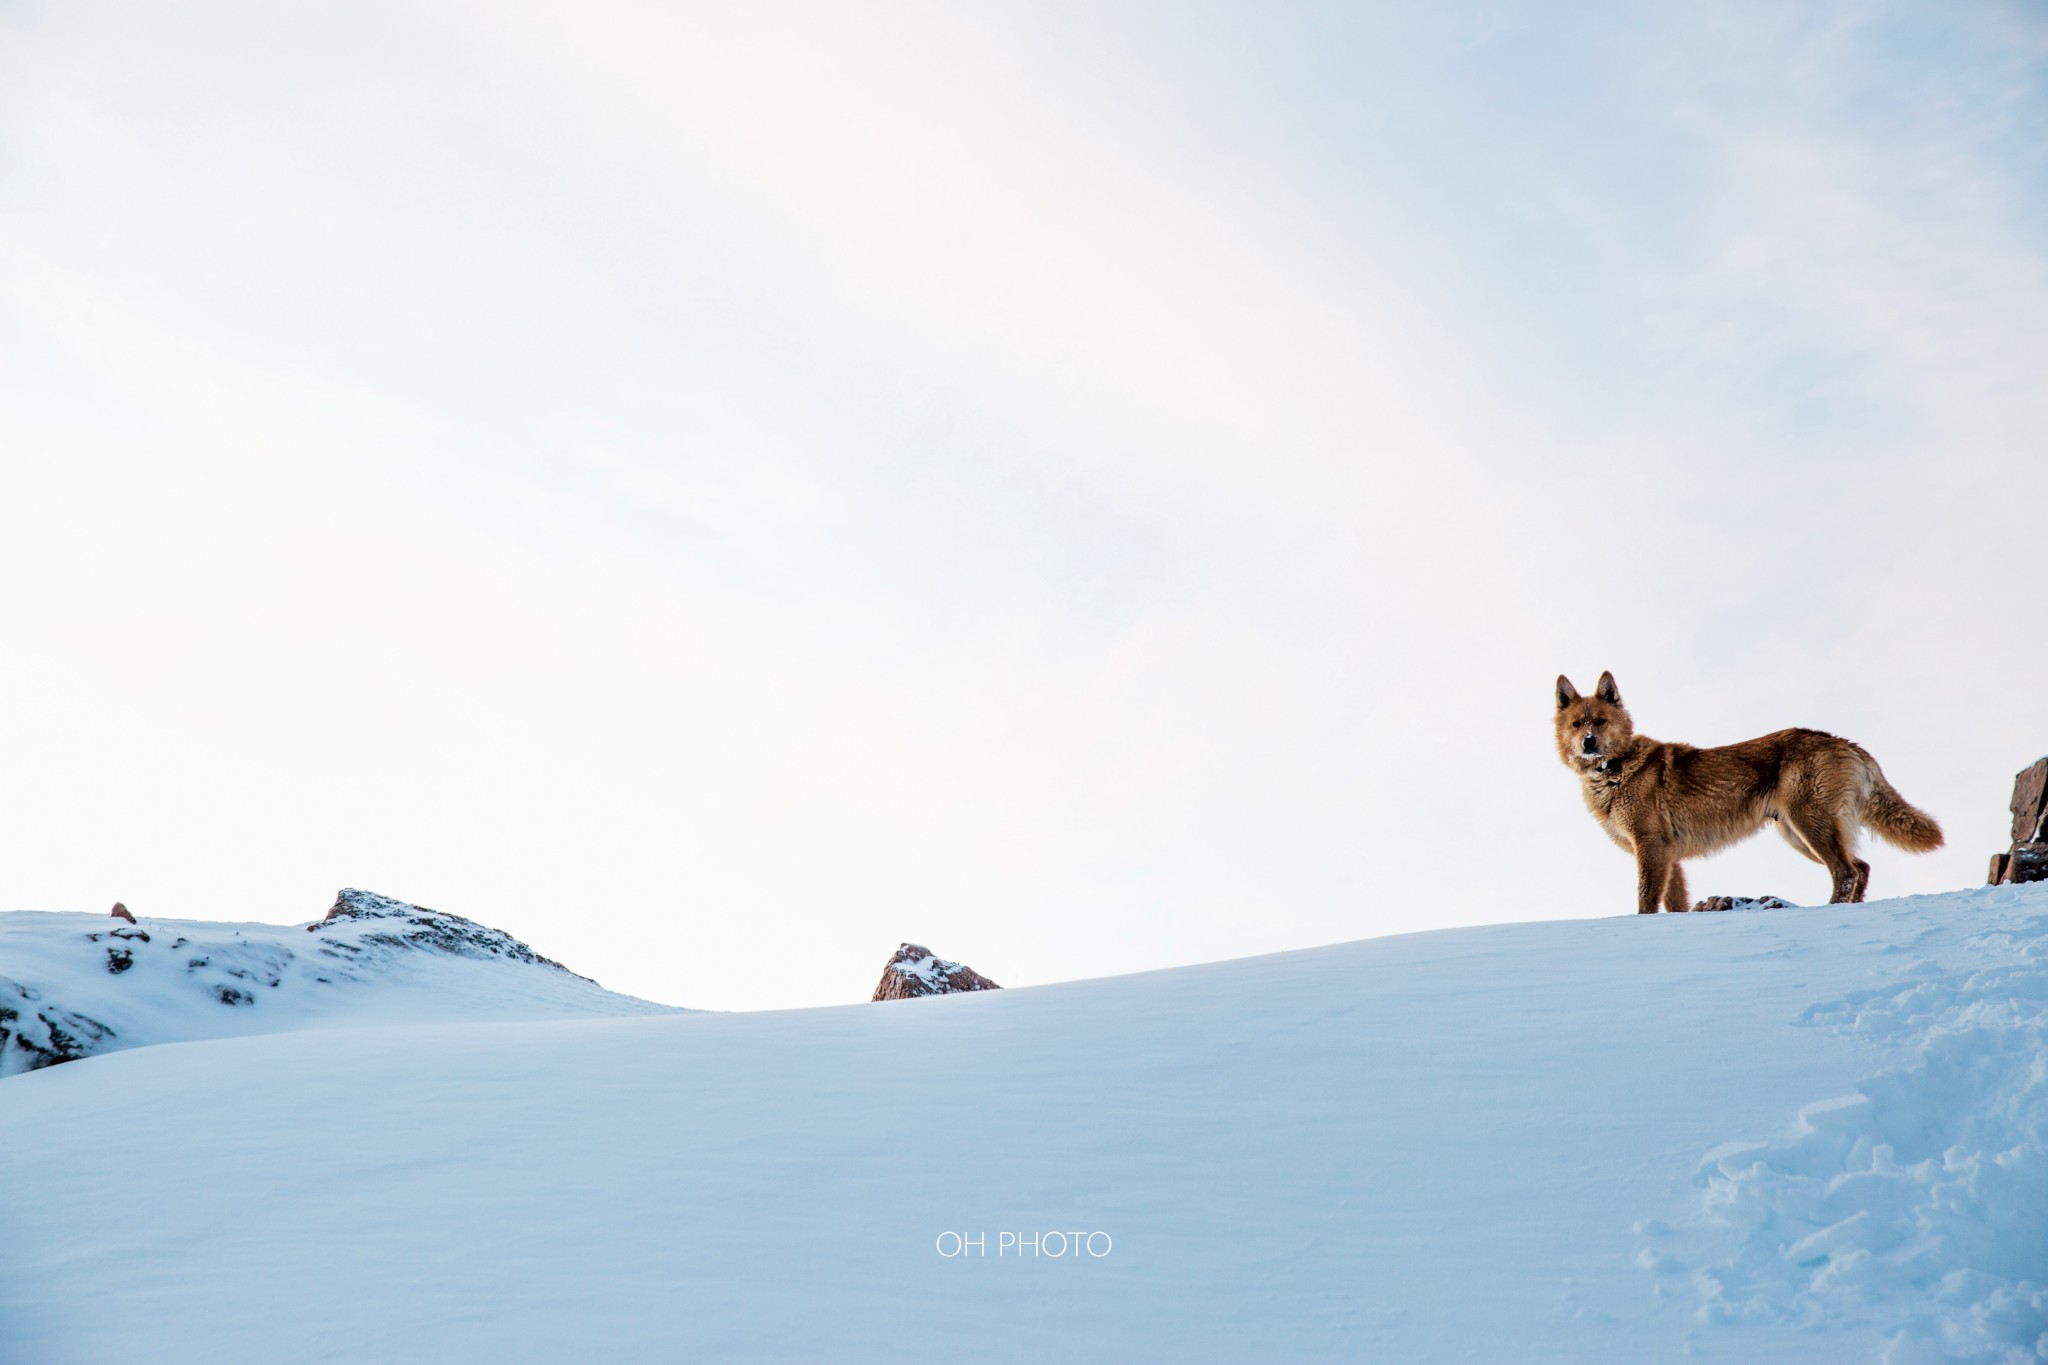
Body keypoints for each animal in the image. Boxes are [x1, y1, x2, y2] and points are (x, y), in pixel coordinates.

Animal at [1556, 675, 1941, 916]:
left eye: (1601, 721)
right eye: (1577, 724)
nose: (1588, 742)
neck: (1615, 769)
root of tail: (1844, 742)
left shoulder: (1650, 847)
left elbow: (1646, 899)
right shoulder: (1669, 855)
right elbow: (1674, 903)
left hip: (1809, 828)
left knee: (1846, 871)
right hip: (1799, 835)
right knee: (1860, 867)